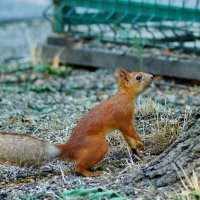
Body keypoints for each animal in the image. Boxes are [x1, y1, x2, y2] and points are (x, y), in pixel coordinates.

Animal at [0, 68, 153, 176]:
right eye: (138, 77)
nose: (152, 76)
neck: (125, 96)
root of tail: (69, 148)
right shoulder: (123, 117)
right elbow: (130, 131)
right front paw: (141, 142)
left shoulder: (125, 122)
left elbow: (128, 138)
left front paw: (137, 150)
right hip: (98, 145)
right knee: (78, 166)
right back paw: (91, 173)